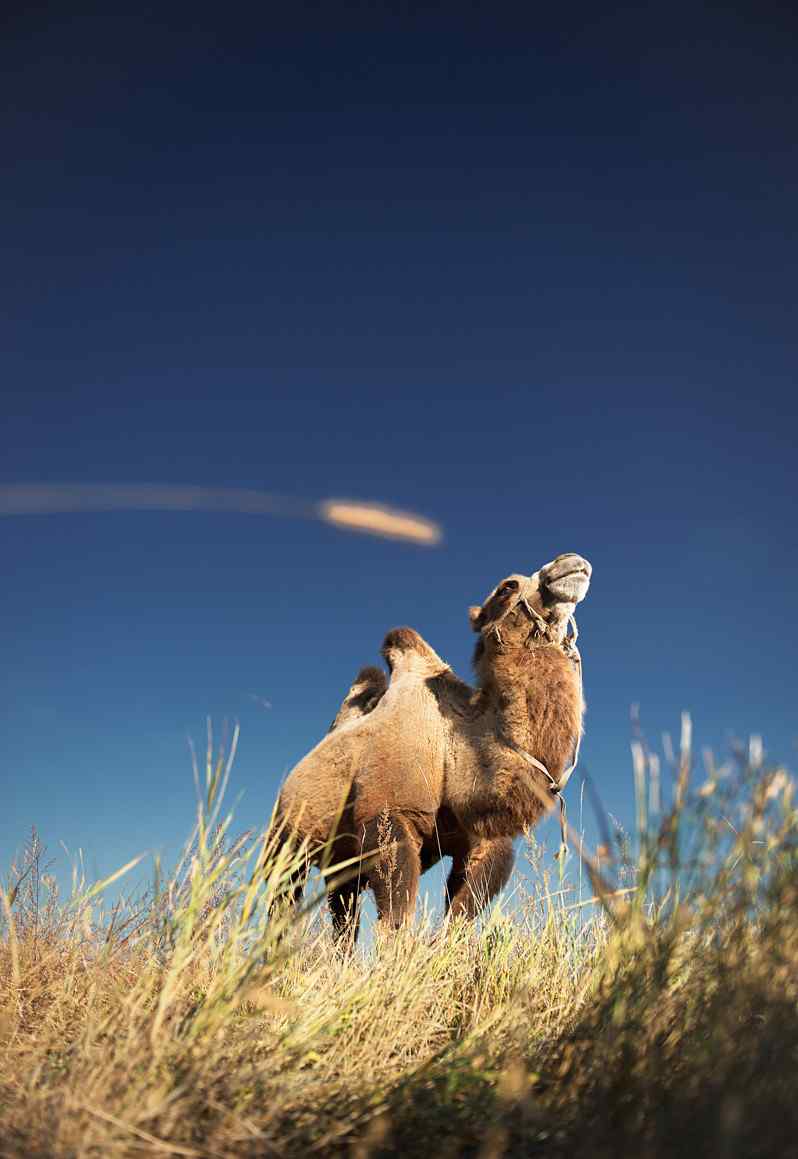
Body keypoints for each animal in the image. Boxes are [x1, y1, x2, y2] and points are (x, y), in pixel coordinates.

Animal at [273, 551, 590, 941]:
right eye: (507, 587)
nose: (570, 562)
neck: (453, 750)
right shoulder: (390, 815)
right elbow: (397, 918)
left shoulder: (483, 840)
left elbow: (461, 918)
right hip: (284, 839)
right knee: (282, 898)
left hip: (340, 862)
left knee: (343, 917)